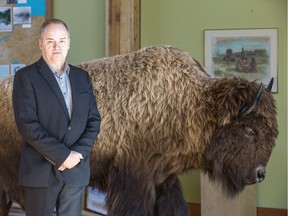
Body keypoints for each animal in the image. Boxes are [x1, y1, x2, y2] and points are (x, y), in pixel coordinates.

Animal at [0, 44, 280, 215]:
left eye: (271, 132)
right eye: (250, 130)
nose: (260, 174)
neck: (191, 103)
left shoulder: (164, 179)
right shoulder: (134, 179)